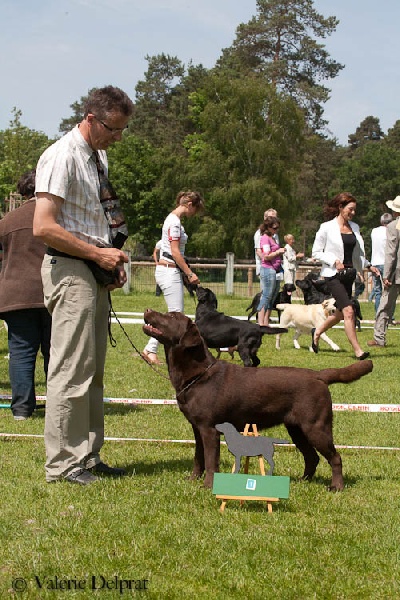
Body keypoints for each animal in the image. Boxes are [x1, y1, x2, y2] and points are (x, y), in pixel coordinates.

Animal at [142, 310, 374, 492]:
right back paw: (302, 481)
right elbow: (198, 457)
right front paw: (192, 480)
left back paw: (336, 487)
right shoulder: (196, 427)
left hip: (316, 426)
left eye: (171, 316)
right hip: (296, 428)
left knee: (335, 457)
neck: (197, 374)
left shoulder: (209, 429)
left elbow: (210, 460)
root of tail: (319, 375)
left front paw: (208, 486)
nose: (147, 310)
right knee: (312, 457)